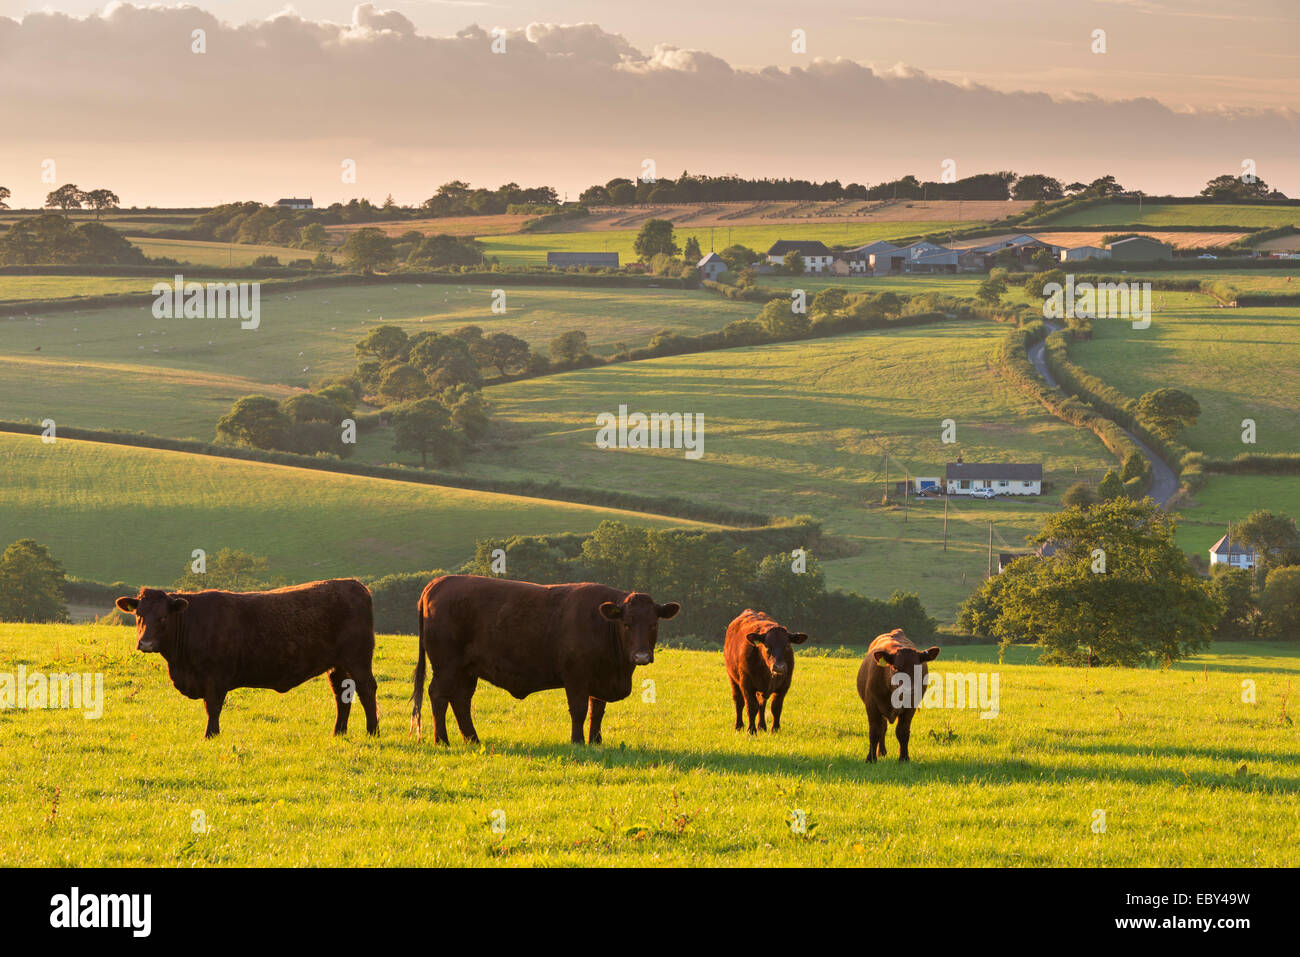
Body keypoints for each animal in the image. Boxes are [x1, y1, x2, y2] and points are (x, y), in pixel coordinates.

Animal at [113, 574, 379, 738]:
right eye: (139, 615)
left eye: (163, 617)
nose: (145, 643)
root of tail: (354, 584)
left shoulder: (216, 678)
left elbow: (213, 707)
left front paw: (211, 735)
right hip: (337, 665)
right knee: (341, 695)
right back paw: (338, 732)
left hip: (358, 659)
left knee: (366, 690)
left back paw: (372, 731)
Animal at [410, 572, 681, 743]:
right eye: (626, 624)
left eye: (653, 624)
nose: (641, 655)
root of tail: (440, 581)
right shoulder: (576, 677)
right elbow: (579, 710)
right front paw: (577, 741)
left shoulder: (600, 678)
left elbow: (597, 711)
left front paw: (596, 741)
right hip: (446, 665)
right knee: (438, 695)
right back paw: (441, 740)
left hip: (467, 670)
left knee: (461, 701)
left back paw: (473, 739)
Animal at [728, 608, 806, 738]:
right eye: (767, 645)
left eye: (787, 645)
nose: (779, 667)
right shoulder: (746, 683)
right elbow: (751, 706)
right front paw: (751, 730)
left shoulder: (785, 684)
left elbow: (776, 707)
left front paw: (775, 729)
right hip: (732, 678)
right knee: (738, 701)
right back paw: (739, 726)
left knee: (762, 704)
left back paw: (762, 726)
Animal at [857, 629, 941, 764]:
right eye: (895, 668)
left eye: (917, 668)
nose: (908, 690)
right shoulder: (872, 705)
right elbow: (874, 732)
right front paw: (871, 758)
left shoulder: (910, 707)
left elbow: (903, 732)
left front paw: (904, 757)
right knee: (882, 728)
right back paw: (881, 751)